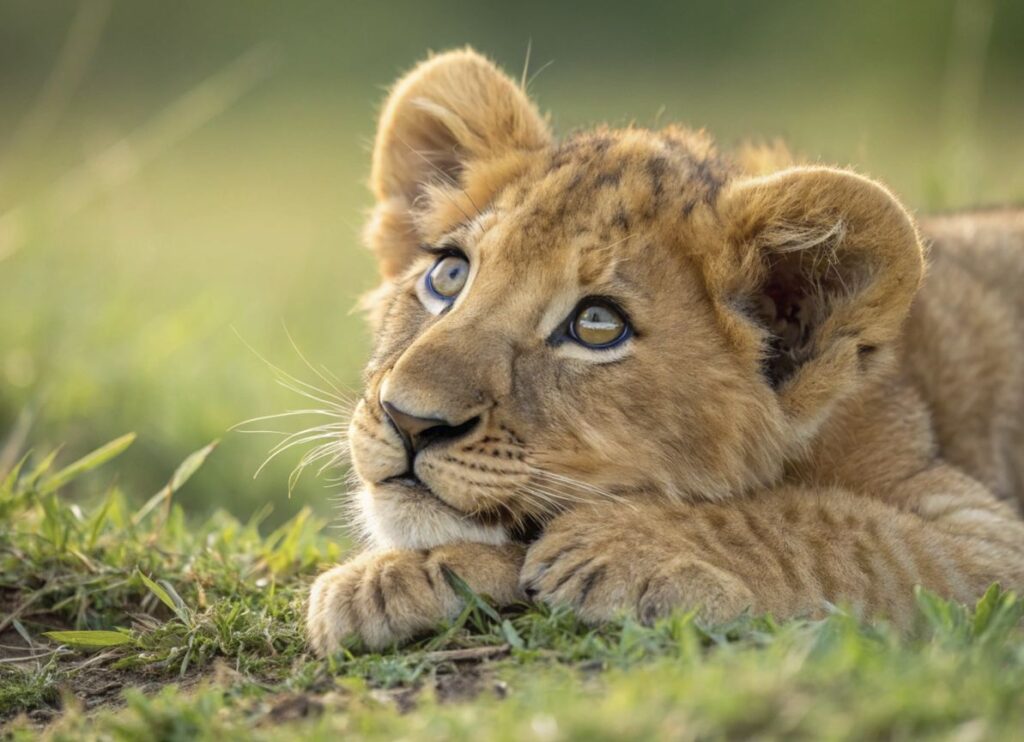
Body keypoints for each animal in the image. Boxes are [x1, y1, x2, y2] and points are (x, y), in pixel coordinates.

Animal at [306, 48, 1024, 653]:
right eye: (449, 275)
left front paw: (615, 544)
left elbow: (818, 525)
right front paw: (389, 577)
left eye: (597, 325)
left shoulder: (986, 548)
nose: (408, 419)